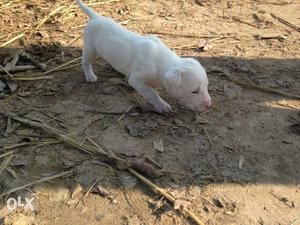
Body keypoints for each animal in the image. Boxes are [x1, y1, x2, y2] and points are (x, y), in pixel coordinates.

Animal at [76, 0, 211, 112]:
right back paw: (90, 76)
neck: (161, 61)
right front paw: (162, 105)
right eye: (194, 91)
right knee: (85, 62)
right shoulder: (137, 80)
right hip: (90, 48)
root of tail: (96, 17)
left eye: (206, 86)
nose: (209, 105)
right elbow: (152, 93)